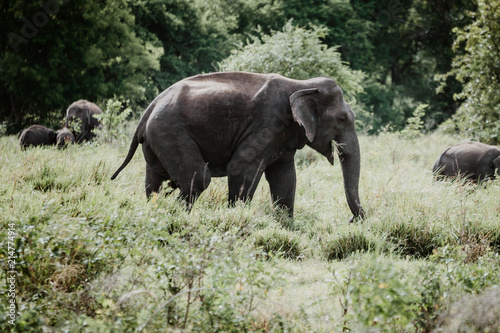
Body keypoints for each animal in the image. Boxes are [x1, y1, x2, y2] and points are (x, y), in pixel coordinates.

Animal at [111, 71, 366, 219]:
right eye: (341, 120)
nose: (353, 218)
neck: (303, 84)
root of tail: (149, 108)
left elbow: (285, 178)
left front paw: (285, 226)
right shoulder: (268, 123)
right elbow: (241, 167)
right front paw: (235, 219)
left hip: (158, 139)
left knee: (156, 181)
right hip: (170, 131)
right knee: (197, 178)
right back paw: (177, 217)